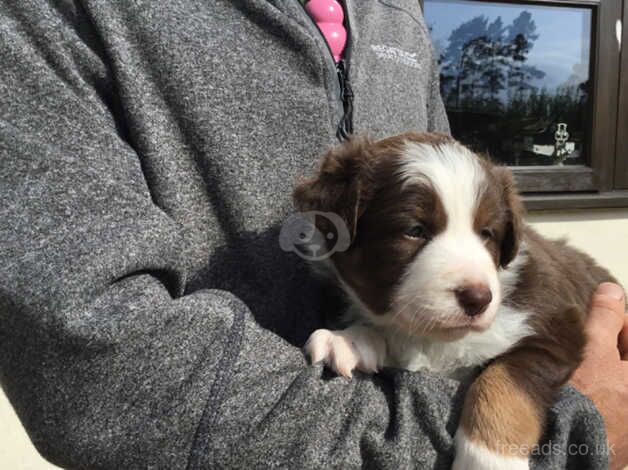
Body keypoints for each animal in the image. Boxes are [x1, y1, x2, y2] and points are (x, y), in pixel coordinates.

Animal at [296, 131, 620, 470]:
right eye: (415, 230)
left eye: (487, 233)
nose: (478, 298)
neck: (437, 340)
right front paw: (348, 340)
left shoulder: (552, 326)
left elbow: (502, 382)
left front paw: (489, 460)